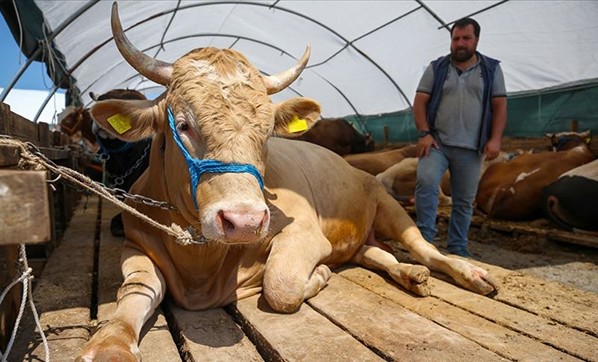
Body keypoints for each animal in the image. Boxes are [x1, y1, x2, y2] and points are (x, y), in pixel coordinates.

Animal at [78, 2, 502, 360]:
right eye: (182, 124)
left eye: (267, 133)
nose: (244, 221)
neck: (201, 262)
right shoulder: (136, 244)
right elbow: (134, 292)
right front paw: (111, 344)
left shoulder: (304, 233)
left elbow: (280, 286)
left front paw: (320, 276)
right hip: (360, 236)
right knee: (376, 254)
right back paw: (409, 274)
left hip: (388, 207)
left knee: (424, 248)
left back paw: (466, 273)